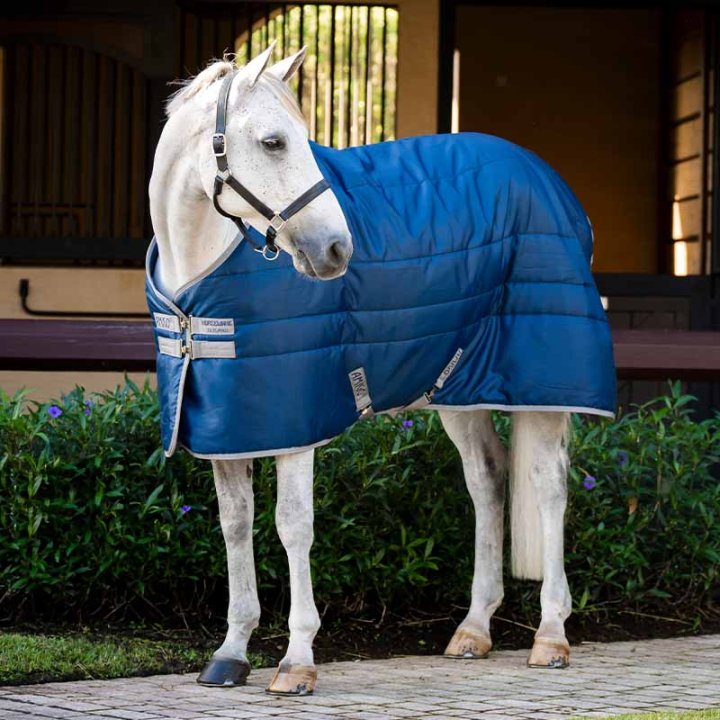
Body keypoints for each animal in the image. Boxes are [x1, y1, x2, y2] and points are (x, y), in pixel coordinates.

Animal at [147, 44, 615, 694]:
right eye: (273, 142)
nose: (336, 251)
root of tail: (549, 181)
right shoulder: (229, 424)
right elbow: (235, 525)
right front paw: (231, 653)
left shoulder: (297, 422)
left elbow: (292, 525)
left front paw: (296, 661)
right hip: (457, 389)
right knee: (487, 479)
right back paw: (473, 629)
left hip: (541, 385)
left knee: (549, 485)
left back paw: (550, 635)